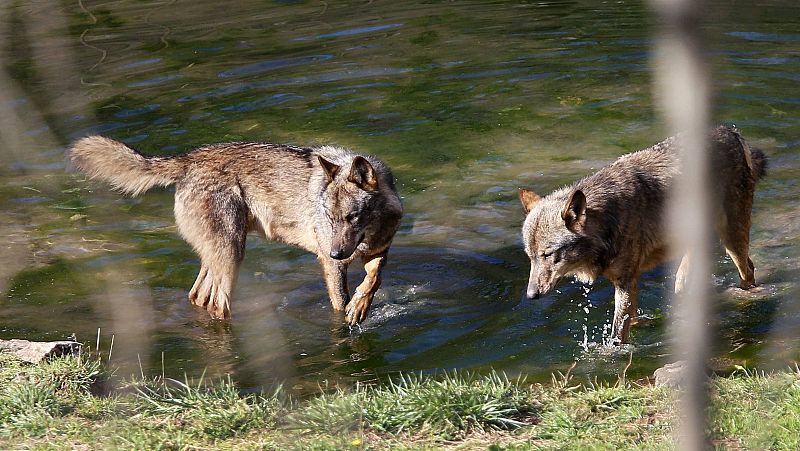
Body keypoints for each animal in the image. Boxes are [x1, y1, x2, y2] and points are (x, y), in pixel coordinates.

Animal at [67, 136, 403, 325]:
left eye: (352, 217)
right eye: (329, 217)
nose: (336, 252)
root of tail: (188, 159)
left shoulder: (378, 251)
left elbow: (373, 279)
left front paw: (360, 306)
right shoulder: (329, 263)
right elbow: (339, 303)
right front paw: (348, 317)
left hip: (220, 256)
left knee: (198, 296)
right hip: (231, 255)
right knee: (217, 303)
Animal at [518, 126, 767, 344]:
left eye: (548, 254)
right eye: (530, 257)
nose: (530, 295)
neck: (607, 218)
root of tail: (731, 132)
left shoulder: (625, 282)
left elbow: (617, 334)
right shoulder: (631, 280)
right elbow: (633, 319)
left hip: (732, 239)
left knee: (748, 269)